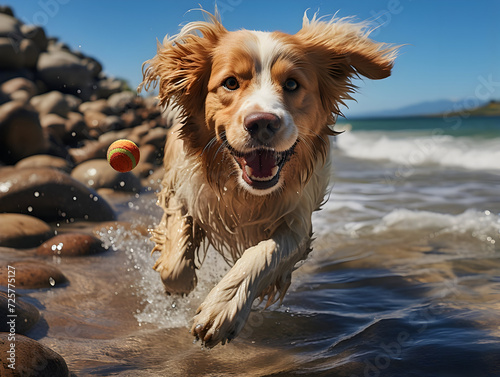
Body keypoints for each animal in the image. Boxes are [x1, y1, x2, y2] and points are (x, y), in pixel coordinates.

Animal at [142, 9, 398, 346]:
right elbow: (176, 257)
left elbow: (262, 253)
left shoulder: (297, 221)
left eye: (291, 84)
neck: (244, 192)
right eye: (230, 83)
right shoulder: (181, 188)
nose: (262, 122)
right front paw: (178, 282)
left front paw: (222, 309)